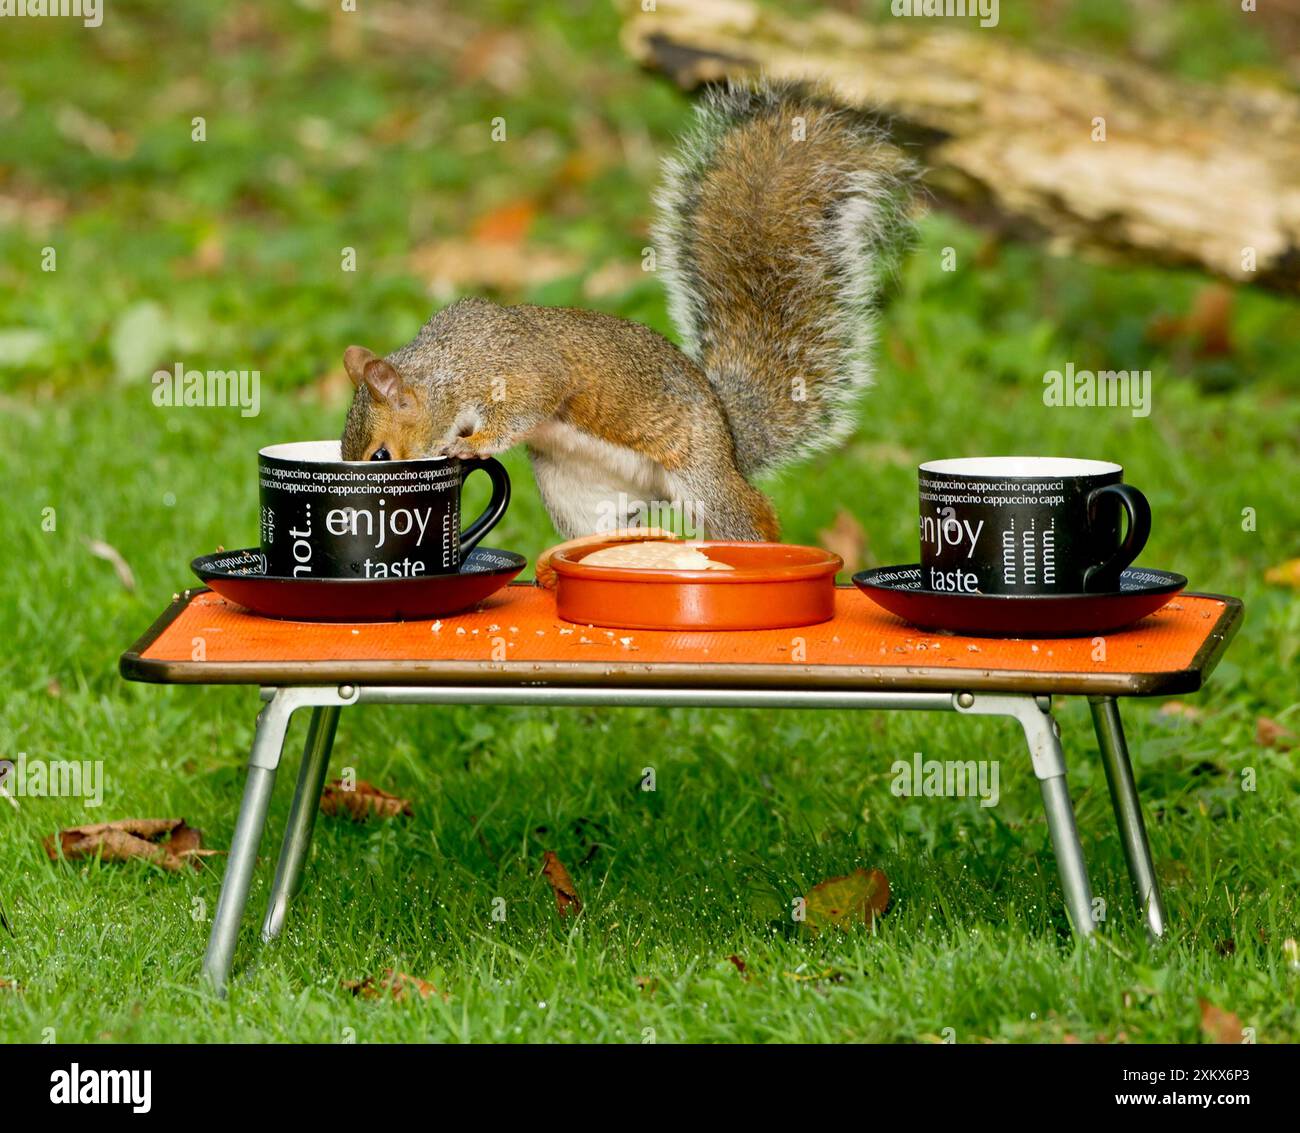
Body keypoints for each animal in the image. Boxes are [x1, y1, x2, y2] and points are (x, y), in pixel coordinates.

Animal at [340, 80, 920, 540]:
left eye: (380, 456)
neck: (445, 366)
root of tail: (729, 435)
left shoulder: (518, 371)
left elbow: (527, 404)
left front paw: (472, 445)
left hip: (700, 473)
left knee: (750, 513)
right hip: (579, 491)